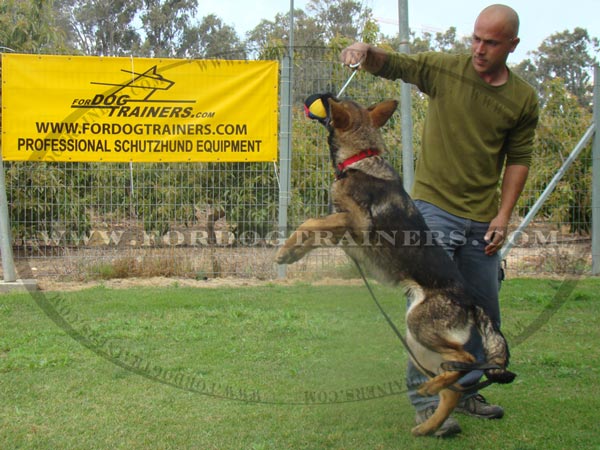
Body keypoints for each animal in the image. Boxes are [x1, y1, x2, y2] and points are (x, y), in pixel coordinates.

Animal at [276, 95, 516, 436]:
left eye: (333, 102)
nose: (317, 96)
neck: (361, 159)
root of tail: (470, 300)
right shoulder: (341, 231)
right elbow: (313, 231)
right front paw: (291, 253)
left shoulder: (356, 223)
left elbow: (311, 222)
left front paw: (285, 250)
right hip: (417, 344)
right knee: (453, 388)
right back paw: (429, 424)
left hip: (418, 326)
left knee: (468, 359)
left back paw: (432, 403)